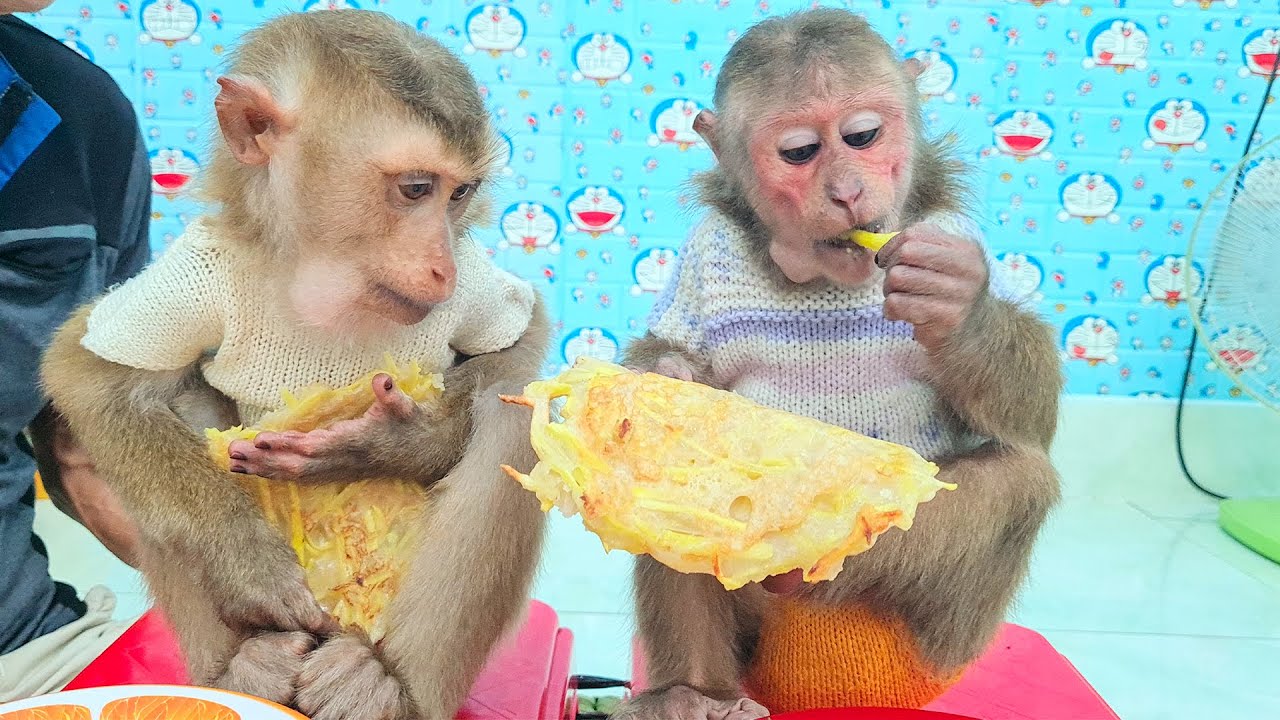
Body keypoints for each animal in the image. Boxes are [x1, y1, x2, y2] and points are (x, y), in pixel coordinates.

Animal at [40, 10, 550, 720]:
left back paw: (390, 688)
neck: (331, 279)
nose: (442, 266)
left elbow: (516, 342)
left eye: (461, 195)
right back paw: (242, 671)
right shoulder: (199, 270)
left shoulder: (472, 283)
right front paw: (247, 561)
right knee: (160, 406)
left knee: (511, 411)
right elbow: (89, 375)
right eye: (416, 190)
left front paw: (396, 444)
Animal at [614, 9, 1062, 720]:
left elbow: (1032, 421)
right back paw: (691, 693)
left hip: (917, 658)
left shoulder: (951, 231)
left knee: (1017, 478)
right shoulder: (706, 255)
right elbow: (674, 368)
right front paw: (670, 379)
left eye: (863, 136)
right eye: (800, 152)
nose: (848, 190)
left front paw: (960, 310)